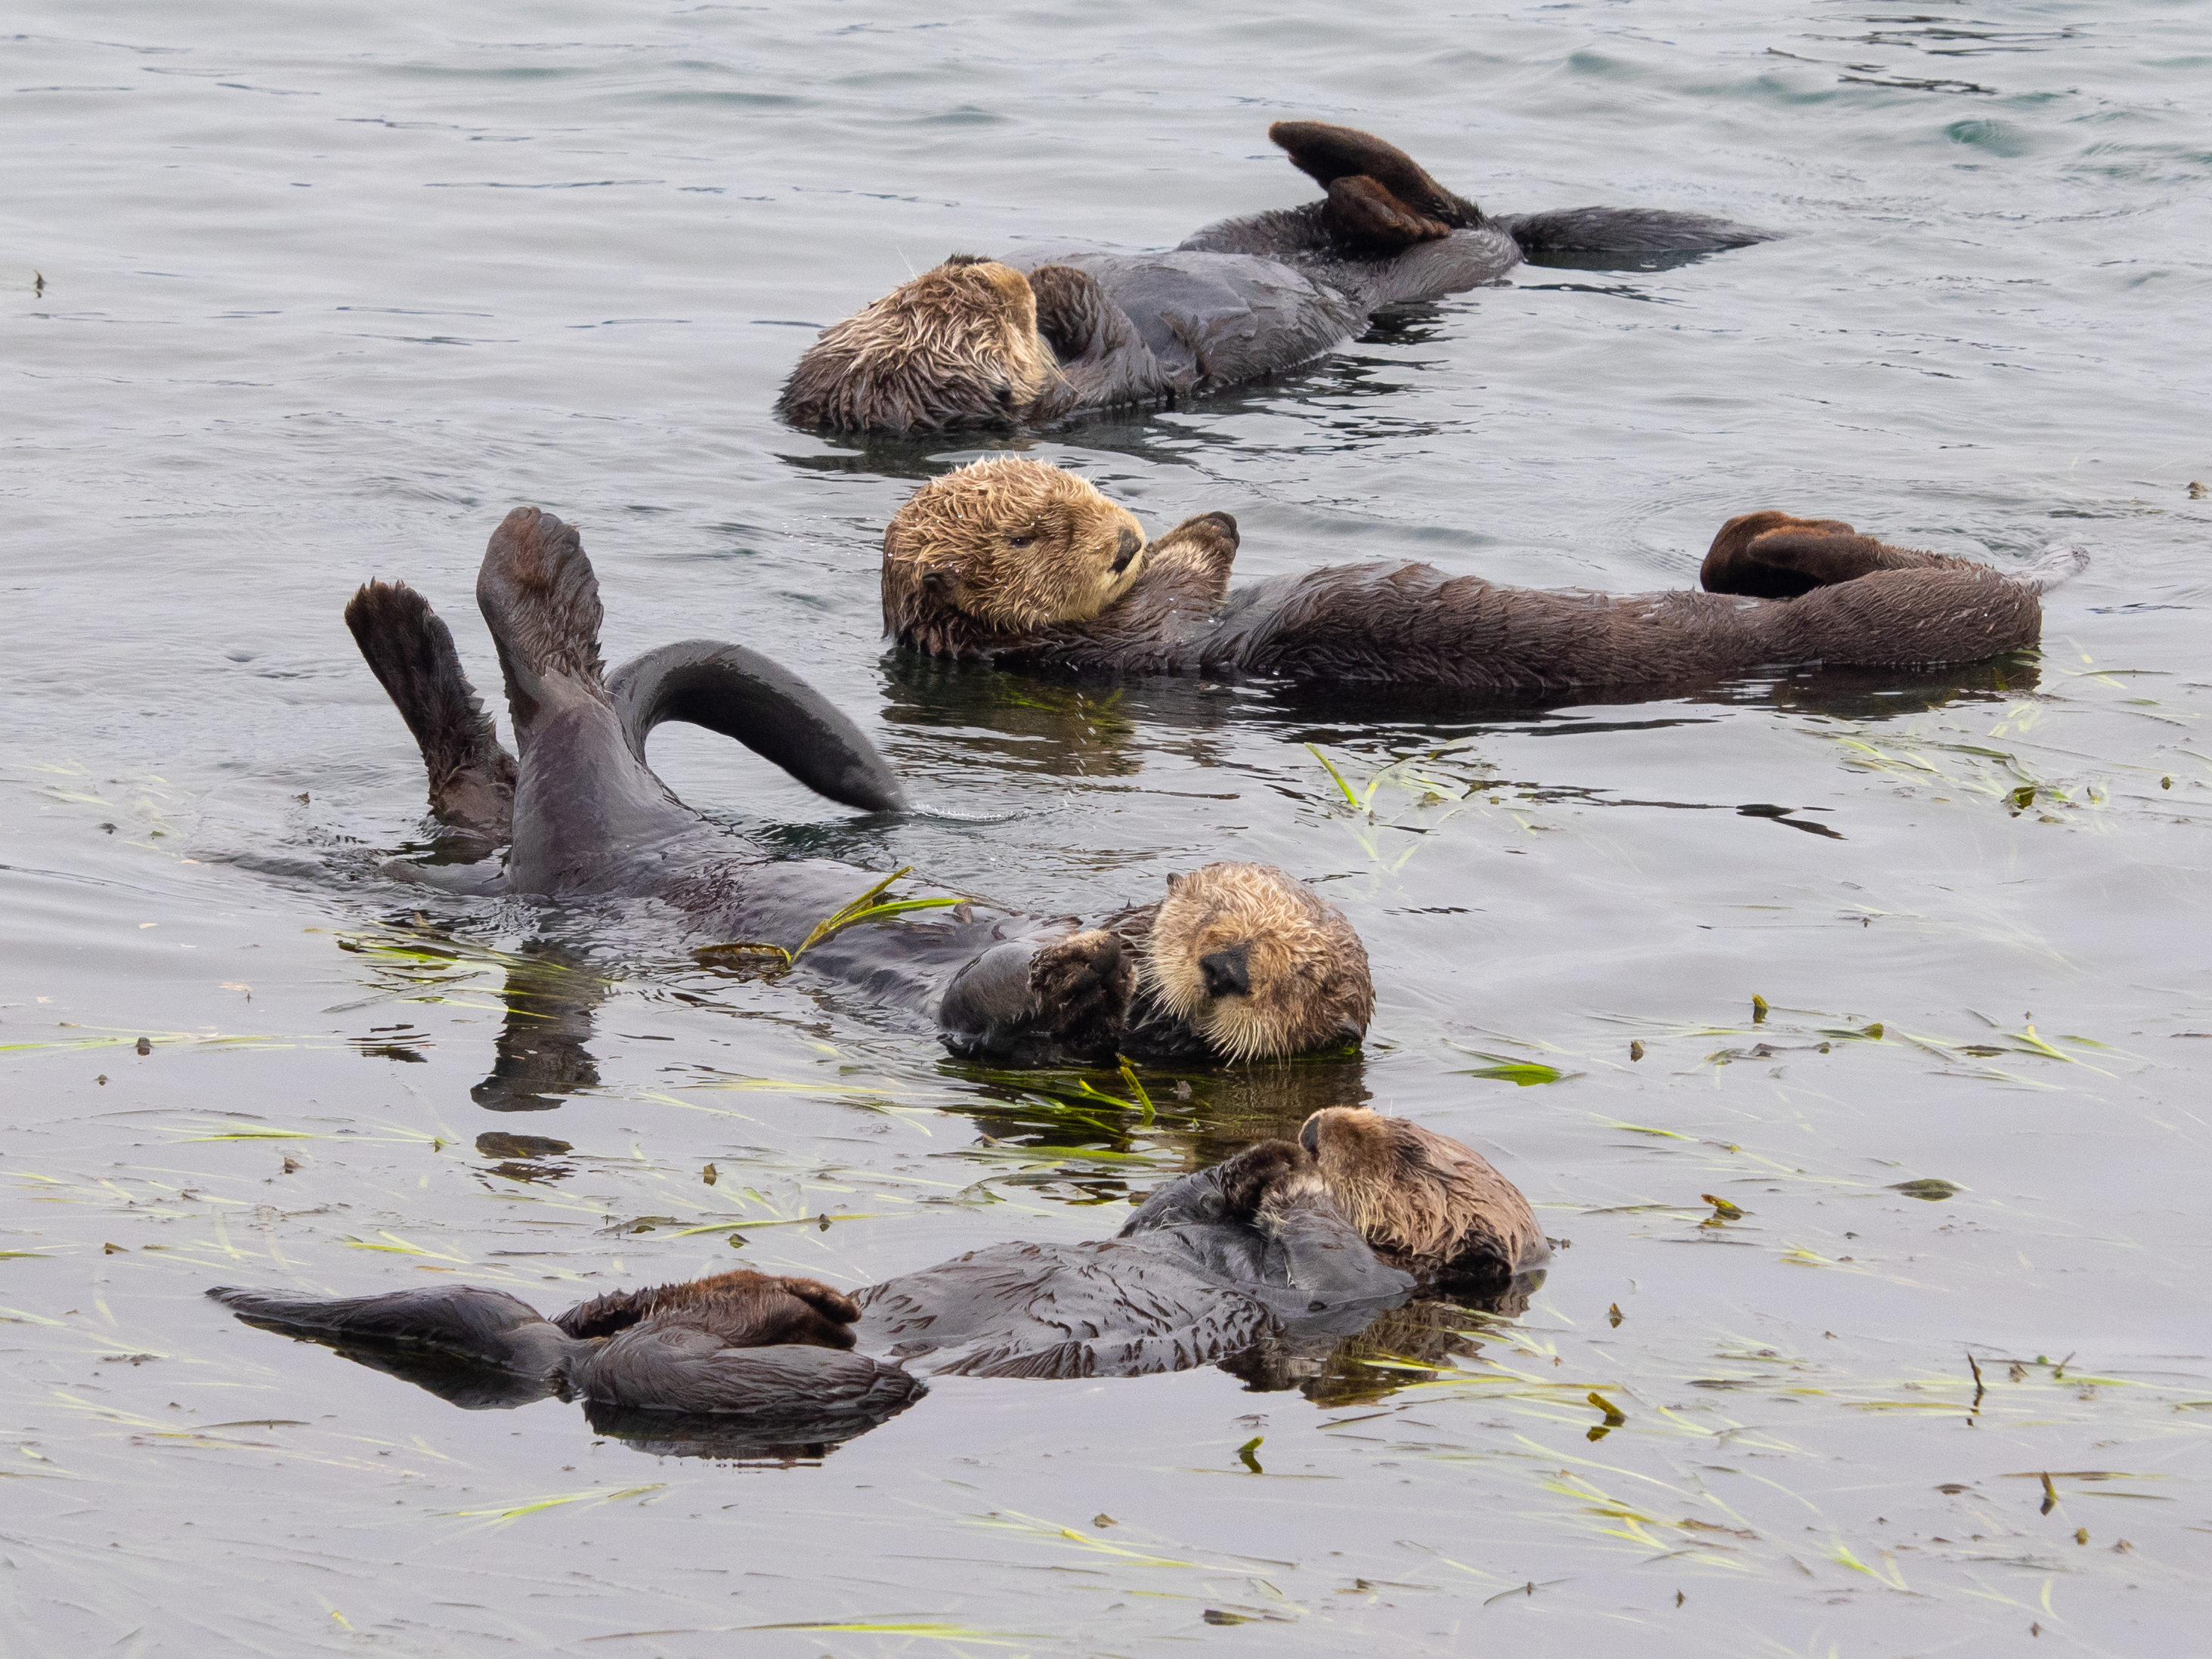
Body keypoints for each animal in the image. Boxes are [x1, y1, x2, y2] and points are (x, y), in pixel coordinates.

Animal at [345, 506, 1373, 1065]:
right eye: (1217, 910)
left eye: (1301, 979)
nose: (1226, 965)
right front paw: (1083, 956)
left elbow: (979, 1007)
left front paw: (1081, 978)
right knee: (535, 713)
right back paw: (504, 567)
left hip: (574, 812)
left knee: (534, 719)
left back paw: (433, 607)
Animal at [779, 121, 1774, 433]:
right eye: (986, 327)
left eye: (913, 298)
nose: (988, 272)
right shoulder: (1101, 390)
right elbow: (1112, 342)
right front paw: (1057, 279)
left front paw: (1030, 257)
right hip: (1451, 262)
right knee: (1448, 218)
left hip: (1260, 229)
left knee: (1379, 199)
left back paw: (1316, 150)